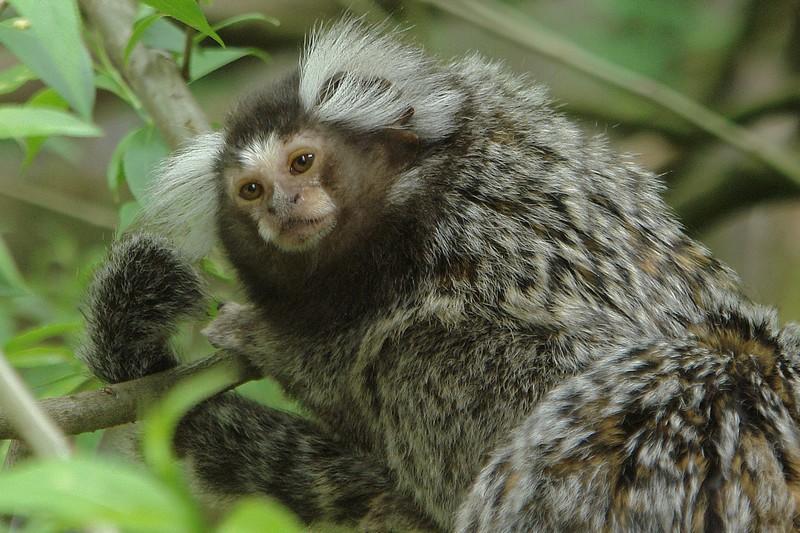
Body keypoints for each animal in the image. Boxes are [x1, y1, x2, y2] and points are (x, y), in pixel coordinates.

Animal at [80, 20, 800, 532]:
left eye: (303, 161)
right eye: (250, 190)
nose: (284, 207)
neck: (419, 187)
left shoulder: (477, 235)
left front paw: (262, 339)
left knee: (415, 354)